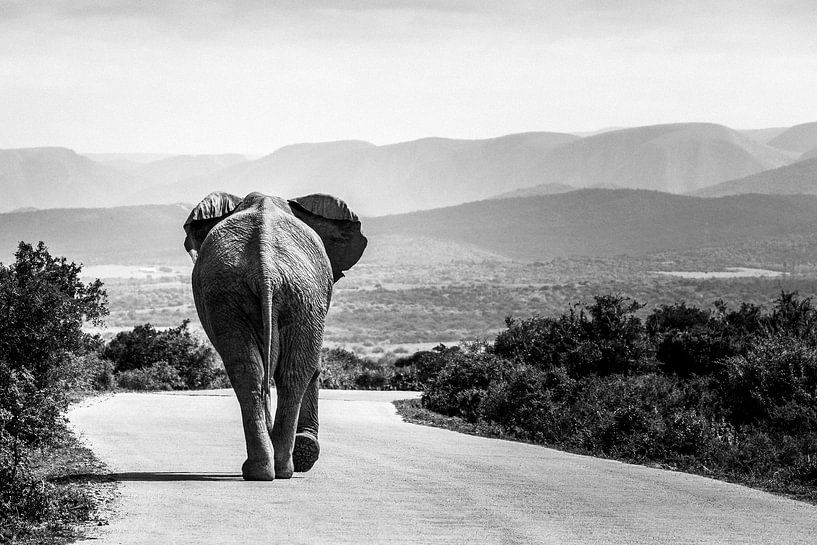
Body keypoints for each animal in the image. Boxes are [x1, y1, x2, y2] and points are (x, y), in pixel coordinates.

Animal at [183, 191, 367, 480]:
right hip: (293, 293)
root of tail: (266, 266)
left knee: (254, 370)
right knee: (289, 369)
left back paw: (266, 470)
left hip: (249, 292)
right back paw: (282, 467)